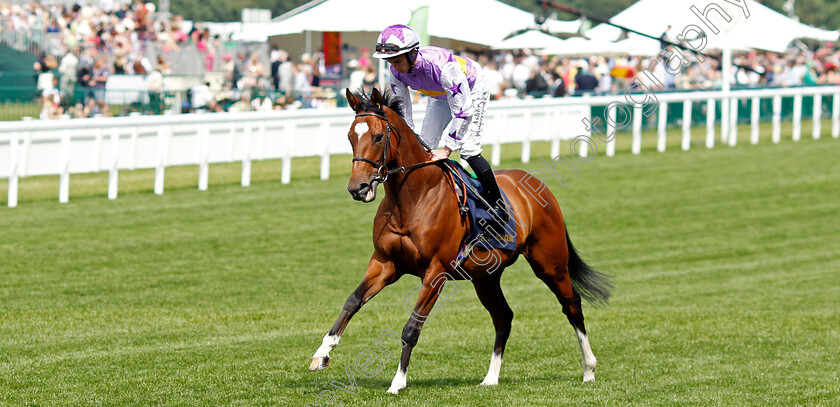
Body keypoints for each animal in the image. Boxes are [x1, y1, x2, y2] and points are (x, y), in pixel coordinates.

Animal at [308, 87, 612, 396]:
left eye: (378, 136)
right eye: (350, 137)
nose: (358, 188)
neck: (413, 198)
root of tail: (537, 185)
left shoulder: (436, 272)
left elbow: (412, 327)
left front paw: (398, 381)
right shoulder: (385, 262)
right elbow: (352, 301)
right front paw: (322, 353)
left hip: (550, 263)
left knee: (572, 305)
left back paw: (589, 369)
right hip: (486, 277)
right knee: (504, 317)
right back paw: (491, 377)